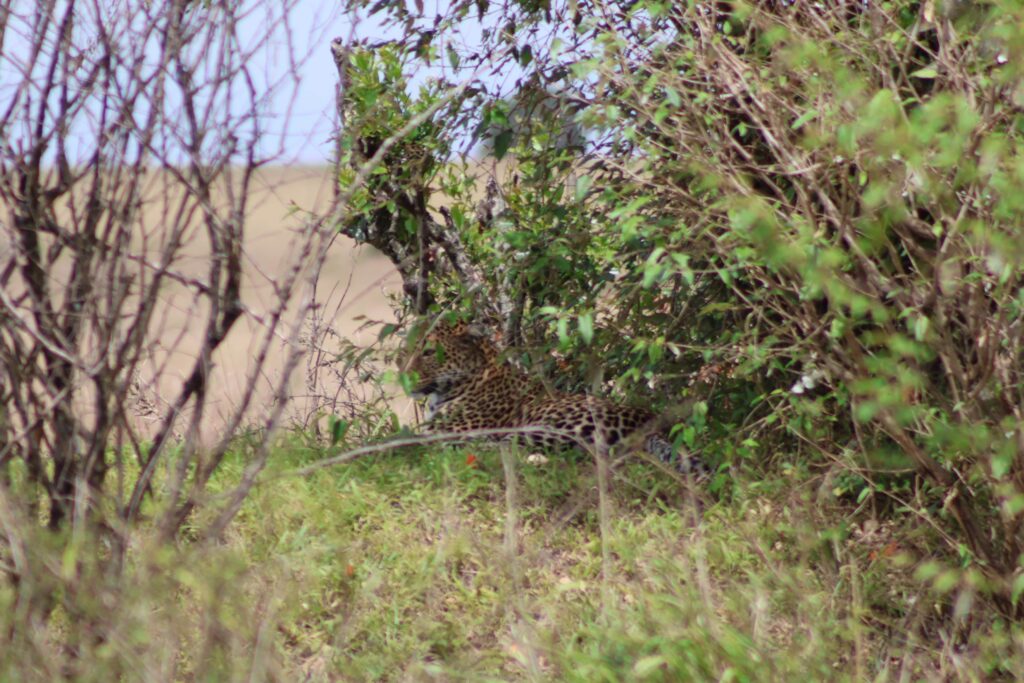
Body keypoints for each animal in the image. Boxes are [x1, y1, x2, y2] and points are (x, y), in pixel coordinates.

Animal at [402, 320, 706, 476]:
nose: (404, 373)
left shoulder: (452, 428)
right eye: (409, 347)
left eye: (428, 353)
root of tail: (649, 421)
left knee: (509, 447)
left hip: (549, 421)